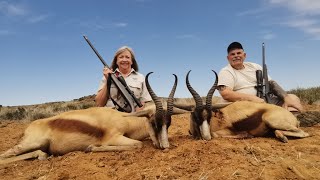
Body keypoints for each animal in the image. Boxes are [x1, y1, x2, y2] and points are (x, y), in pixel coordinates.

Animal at [0, 72, 185, 165]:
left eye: (168, 124)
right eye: (154, 122)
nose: (165, 147)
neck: (126, 119)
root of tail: (30, 126)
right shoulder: (114, 137)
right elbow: (138, 145)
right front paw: (90, 147)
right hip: (30, 143)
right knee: (4, 156)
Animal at [175, 69, 310, 143]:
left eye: (209, 116)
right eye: (196, 116)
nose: (206, 137)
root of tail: (293, 118)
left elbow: (217, 134)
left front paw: (246, 135)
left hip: (271, 121)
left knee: (304, 133)